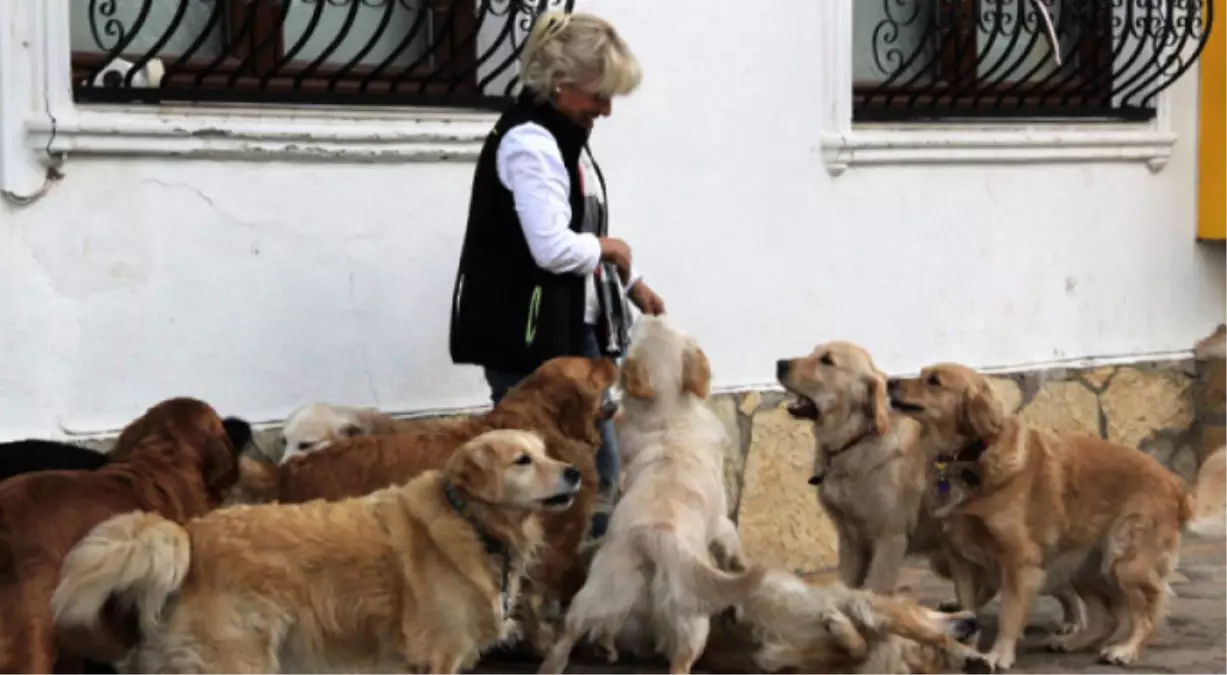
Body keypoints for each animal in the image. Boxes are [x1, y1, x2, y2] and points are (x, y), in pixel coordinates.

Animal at [52, 432, 579, 675]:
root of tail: (190, 537)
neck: (470, 521)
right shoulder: (435, 657)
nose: (574, 471)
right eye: (522, 461)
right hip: (237, 660)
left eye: (546, 452)